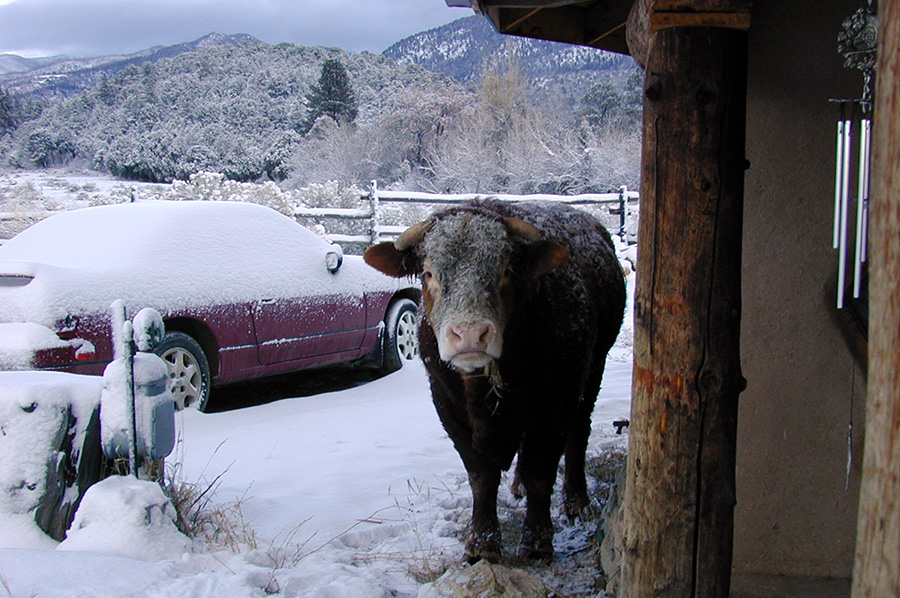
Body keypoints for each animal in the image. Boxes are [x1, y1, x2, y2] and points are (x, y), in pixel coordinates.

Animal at [366, 200, 624, 564]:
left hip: (593, 368)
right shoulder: (448, 407)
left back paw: (575, 500)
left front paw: (537, 540)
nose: (470, 334)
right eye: (429, 273)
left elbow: (540, 470)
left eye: (506, 271)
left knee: (578, 433)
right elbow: (481, 476)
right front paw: (482, 543)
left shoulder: (556, 403)